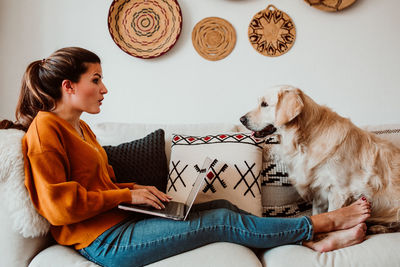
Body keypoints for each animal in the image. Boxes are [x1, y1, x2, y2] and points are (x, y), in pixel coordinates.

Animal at [241, 85, 400, 232]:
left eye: (264, 104)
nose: (241, 119)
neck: (304, 139)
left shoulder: (339, 191)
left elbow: (334, 215)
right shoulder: (319, 191)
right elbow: (319, 215)